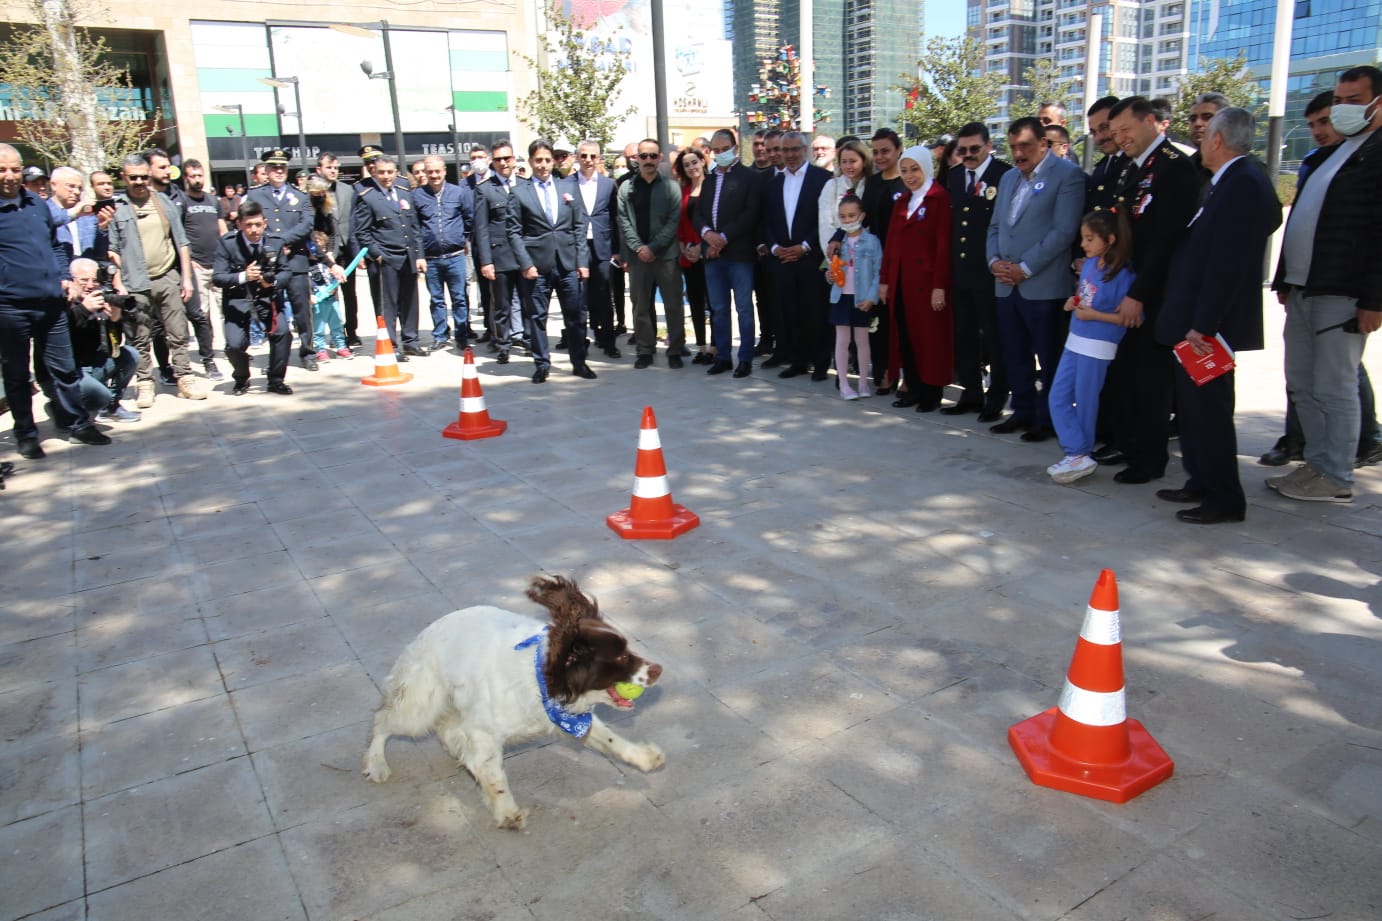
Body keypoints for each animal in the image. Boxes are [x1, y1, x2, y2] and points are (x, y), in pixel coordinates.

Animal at [362, 575, 663, 824]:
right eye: (621, 657)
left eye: (628, 649)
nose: (659, 669)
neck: (541, 679)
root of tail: (426, 632)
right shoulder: (483, 731)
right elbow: (494, 773)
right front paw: (507, 812)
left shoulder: (569, 719)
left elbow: (610, 739)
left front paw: (645, 758)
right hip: (420, 705)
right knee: (383, 720)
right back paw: (376, 763)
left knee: (445, 728)